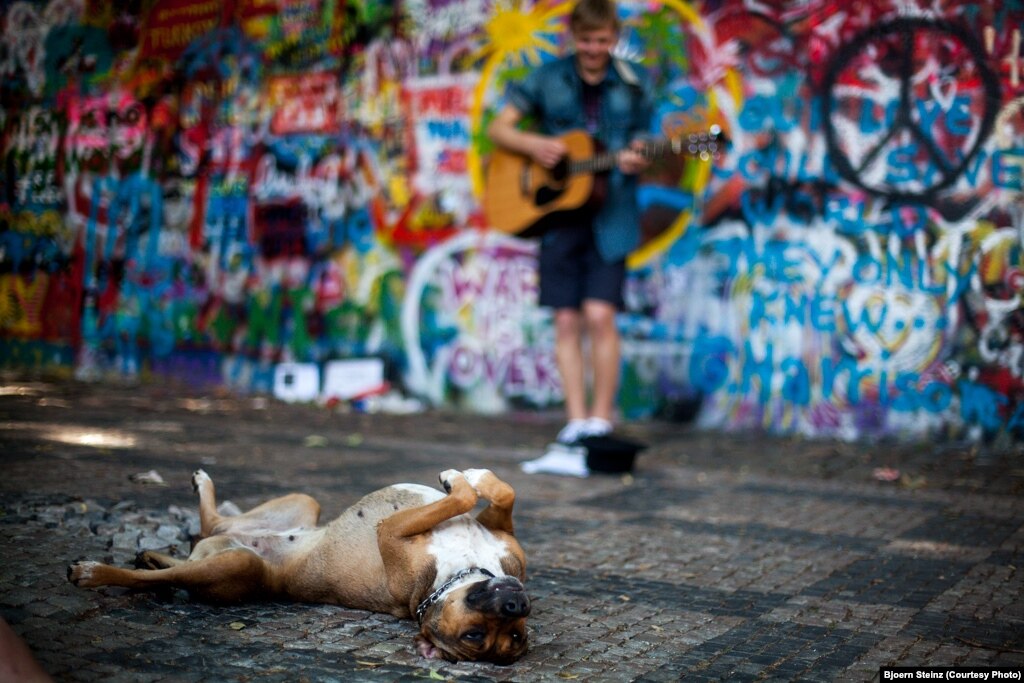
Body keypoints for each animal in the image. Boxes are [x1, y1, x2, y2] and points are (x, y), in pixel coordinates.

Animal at [68, 466, 532, 663]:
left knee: (166, 574)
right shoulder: (501, 534)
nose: (517, 604)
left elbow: (465, 496)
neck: (455, 577)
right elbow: (499, 492)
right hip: (301, 504)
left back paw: (96, 572)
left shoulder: (390, 531)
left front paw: (460, 479)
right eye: (477, 634)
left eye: (510, 635)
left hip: (235, 566)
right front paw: (470, 474)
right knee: (208, 527)